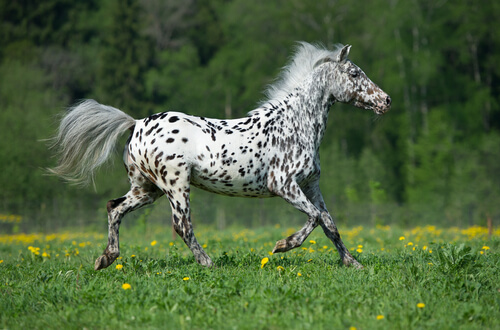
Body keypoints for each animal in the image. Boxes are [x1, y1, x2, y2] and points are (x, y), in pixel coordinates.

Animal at [48, 42, 390, 270]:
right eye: (354, 73)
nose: (385, 101)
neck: (294, 124)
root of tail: (137, 124)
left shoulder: (310, 185)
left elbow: (330, 223)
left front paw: (353, 263)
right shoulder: (283, 184)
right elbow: (316, 218)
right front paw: (282, 246)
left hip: (147, 189)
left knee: (114, 208)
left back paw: (105, 259)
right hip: (175, 185)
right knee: (182, 225)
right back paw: (208, 263)